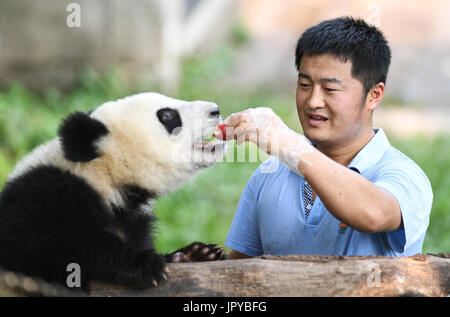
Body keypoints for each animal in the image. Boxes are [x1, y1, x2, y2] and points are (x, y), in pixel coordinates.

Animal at [0, 90, 227, 288]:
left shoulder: (131, 219)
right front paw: (144, 266)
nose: (215, 110)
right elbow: (59, 245)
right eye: (168, 115)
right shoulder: (40, 199)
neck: (103, 176)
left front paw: (197, 254)